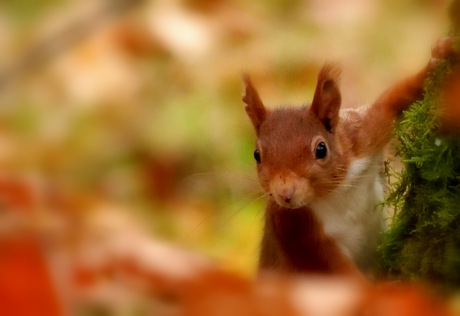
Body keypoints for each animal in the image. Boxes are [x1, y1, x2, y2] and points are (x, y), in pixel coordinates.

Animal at [243, 37, 454, 276]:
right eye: (256, 155)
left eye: (321, 149)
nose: (286, 194)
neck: (336, 192)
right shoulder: (294, 229)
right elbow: (334, 268)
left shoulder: (364, 136)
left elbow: (391, 102)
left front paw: (438, 57)